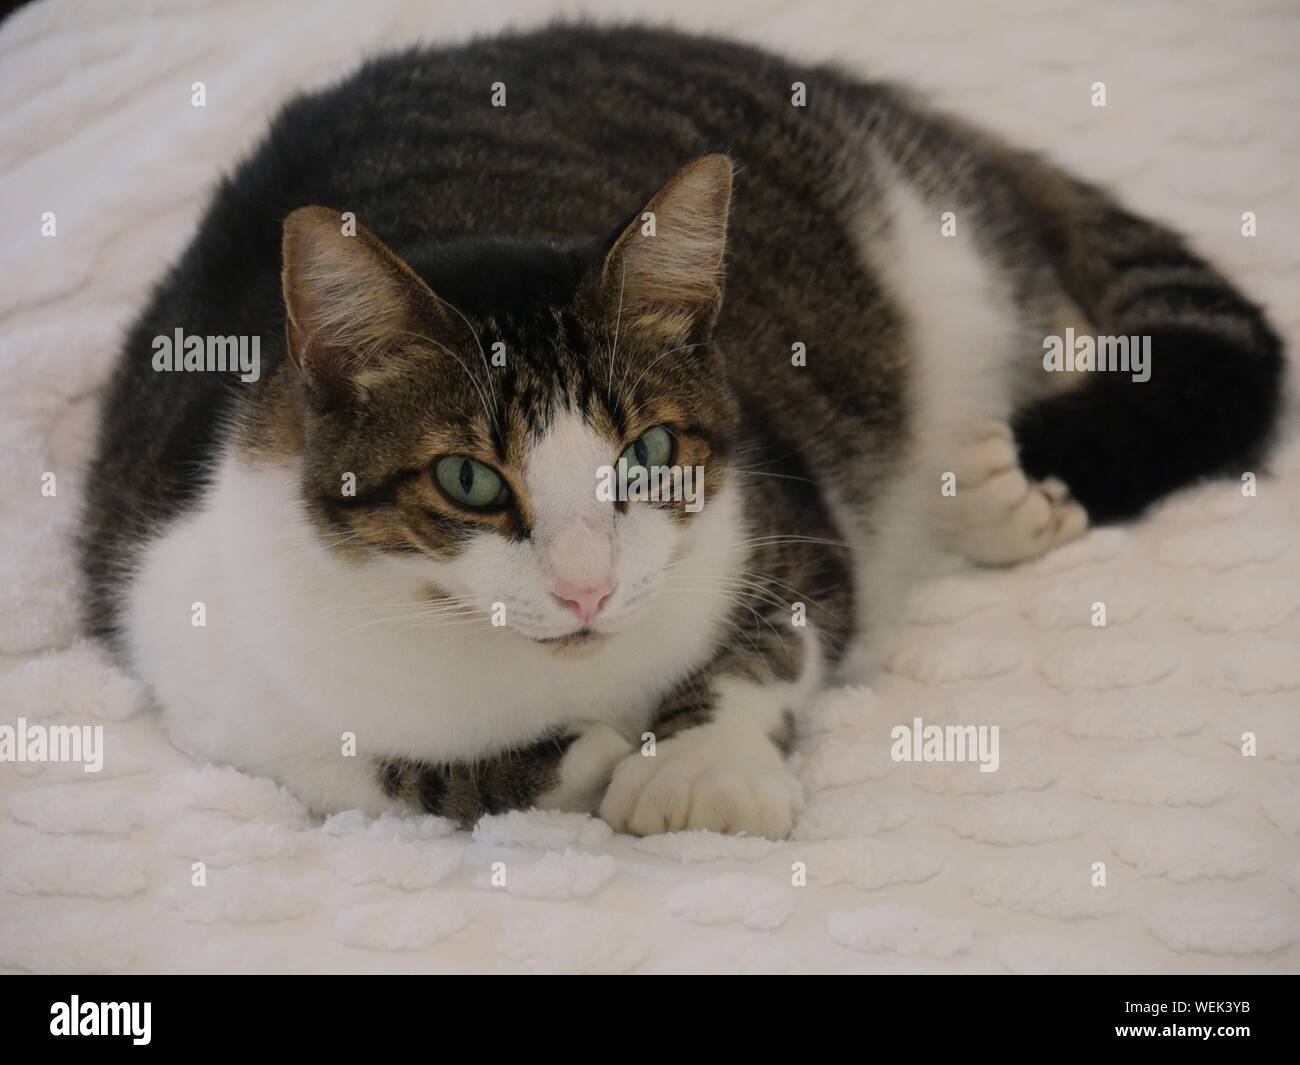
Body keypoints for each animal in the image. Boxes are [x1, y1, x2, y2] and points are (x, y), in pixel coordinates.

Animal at [78, 22, 1279, 842]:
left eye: (648, 454)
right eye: (468, 480)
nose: (587, 588)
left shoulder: (786, 514)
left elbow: (778, 640)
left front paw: (697, 768)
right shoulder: (195, 659)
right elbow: (365, 770)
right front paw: (572, 761)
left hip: (940, 249)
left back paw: (1001, 482)